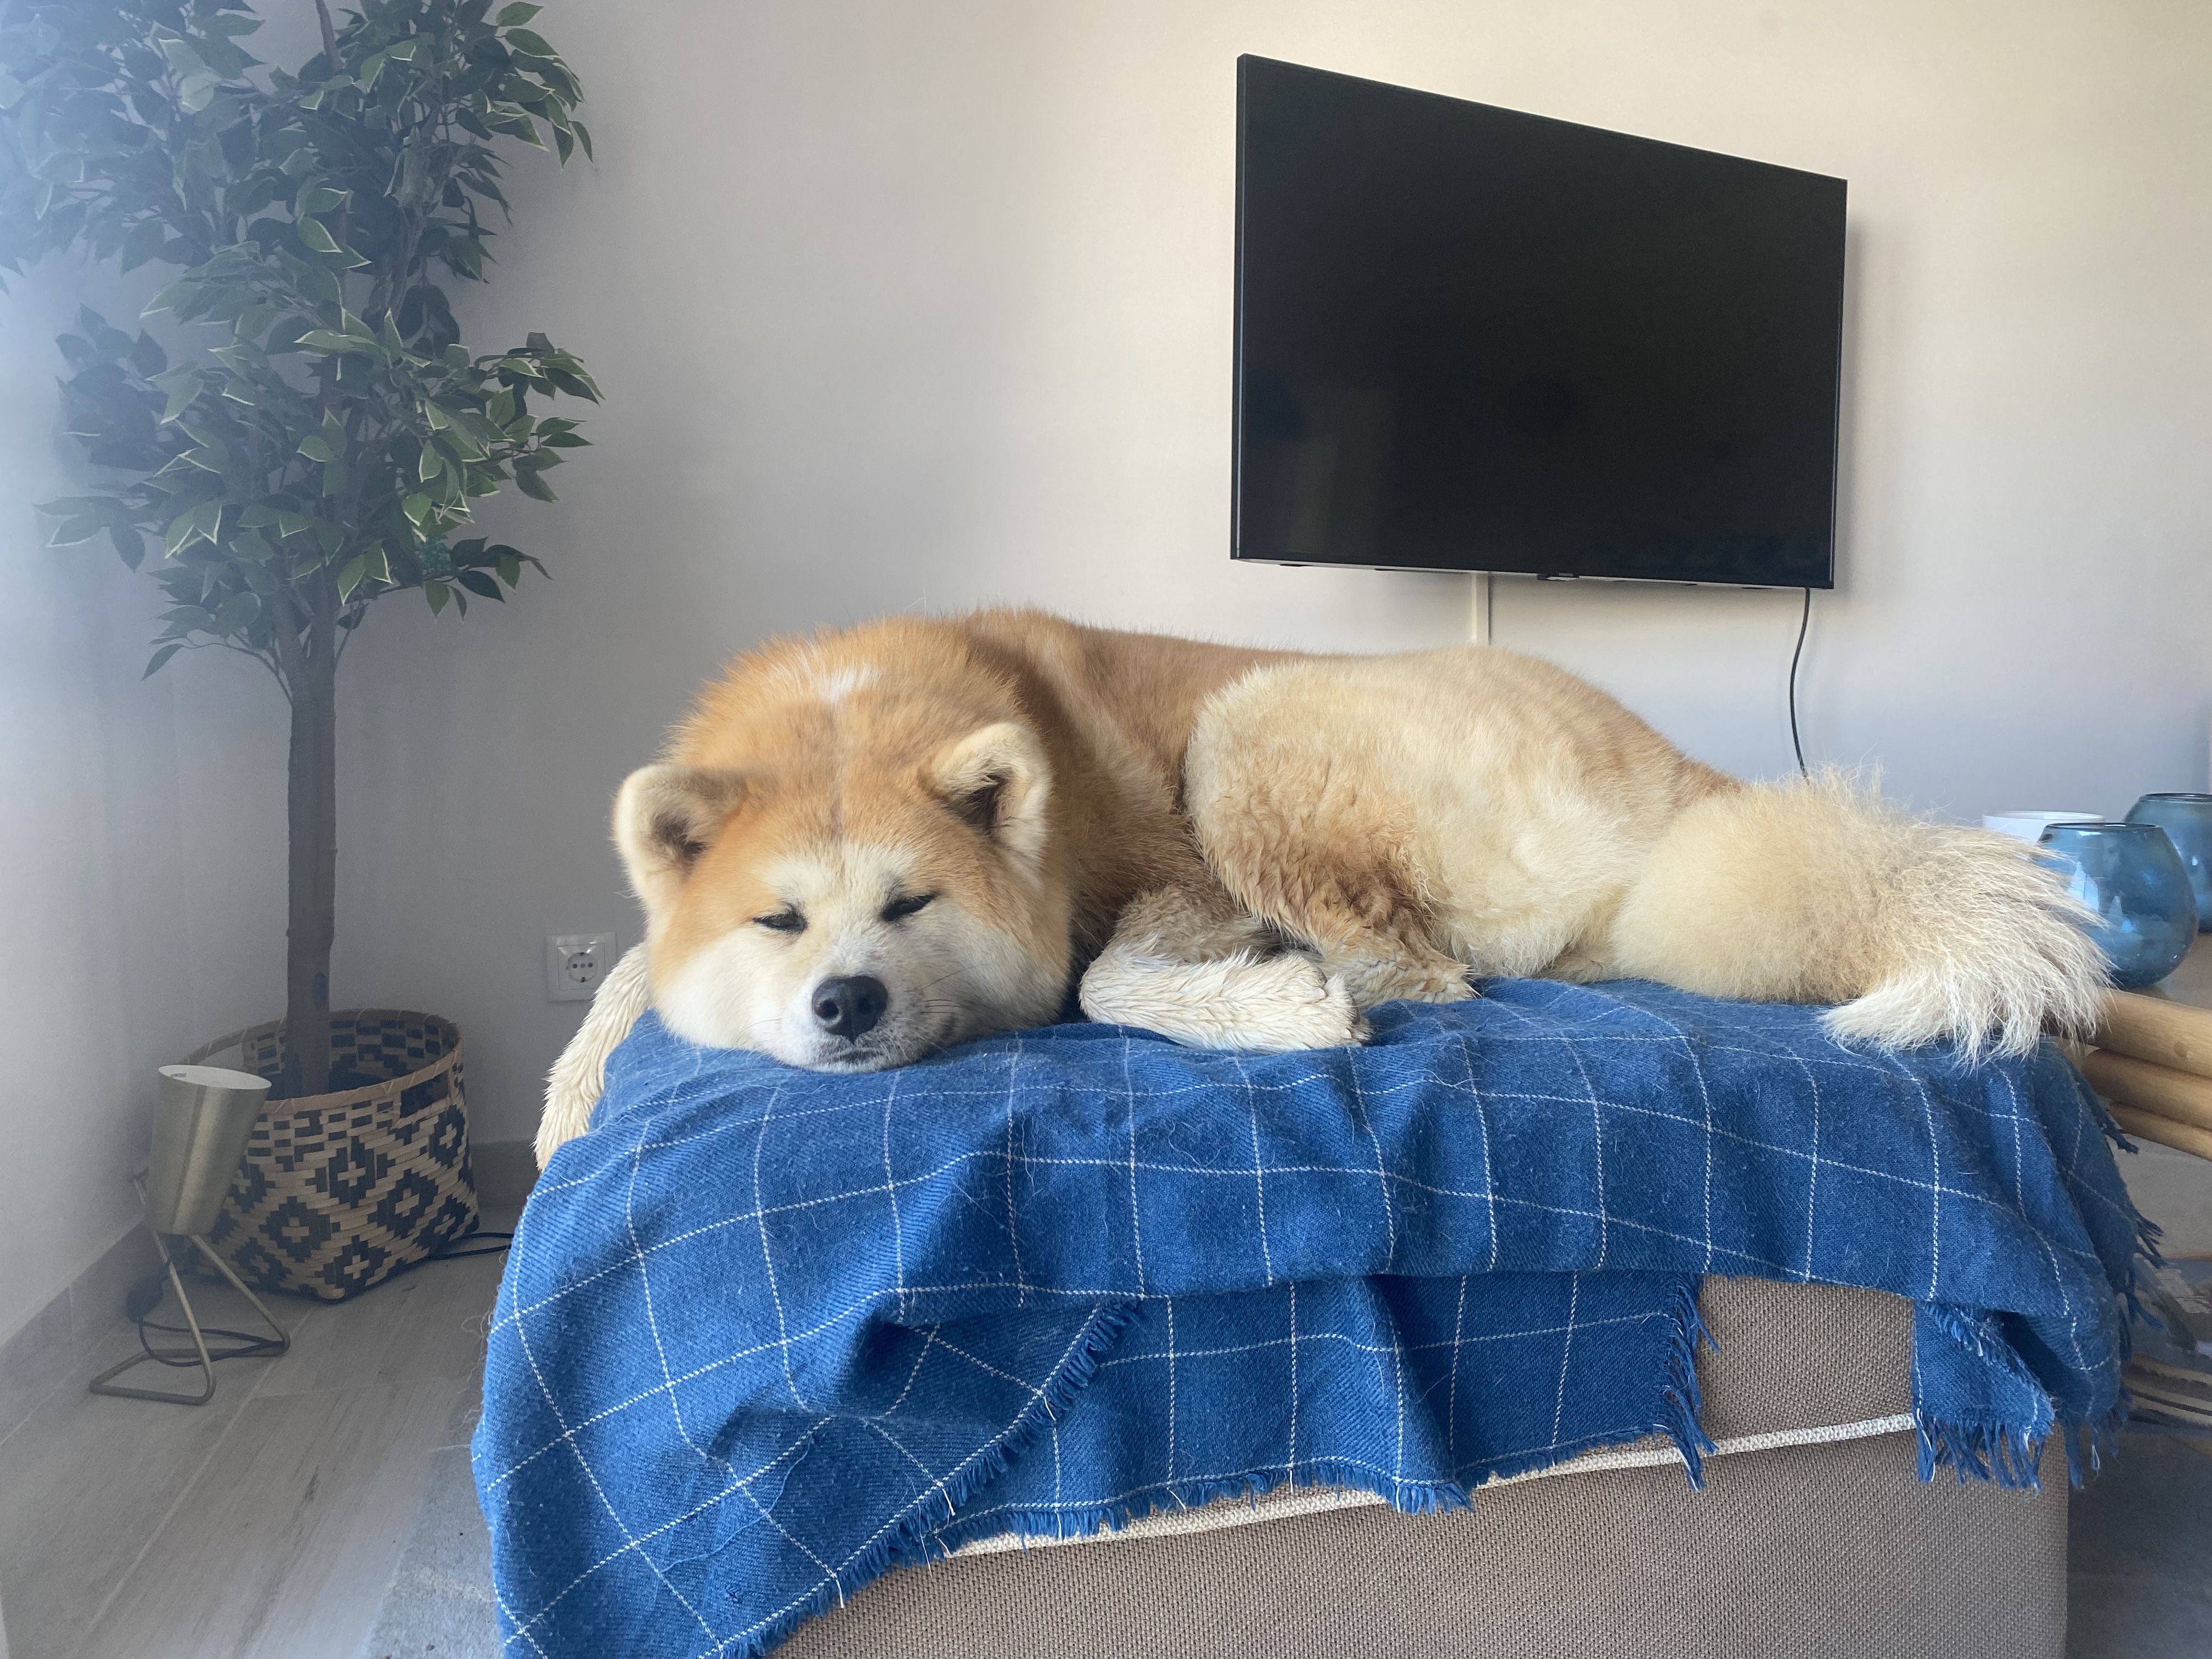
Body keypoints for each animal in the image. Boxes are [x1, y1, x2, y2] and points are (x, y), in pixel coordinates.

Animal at [535, 609, 2104, 1166]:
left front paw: (1267, 1011)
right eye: (778, 922)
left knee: (1432, 972)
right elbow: (630, 974)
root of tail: (1681, 776)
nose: (847, 1003)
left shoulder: (1164, 871)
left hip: (1249, 731)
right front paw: (567, 1104)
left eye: (913, 905)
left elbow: (1103, 982)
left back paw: (1313, 975)